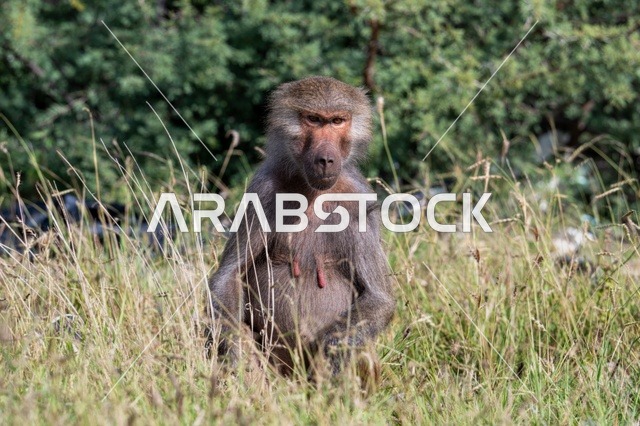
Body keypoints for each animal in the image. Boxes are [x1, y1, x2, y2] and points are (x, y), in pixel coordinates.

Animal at [207, 76, 395, 378]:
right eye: (314, 119)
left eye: (337, 121)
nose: (326, 160)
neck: (312, 190)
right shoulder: (263, 189)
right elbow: (229, 275)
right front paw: (237, 357)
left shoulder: (361, 200)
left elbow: (378, 298)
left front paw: (331, 355)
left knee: (360, 347)